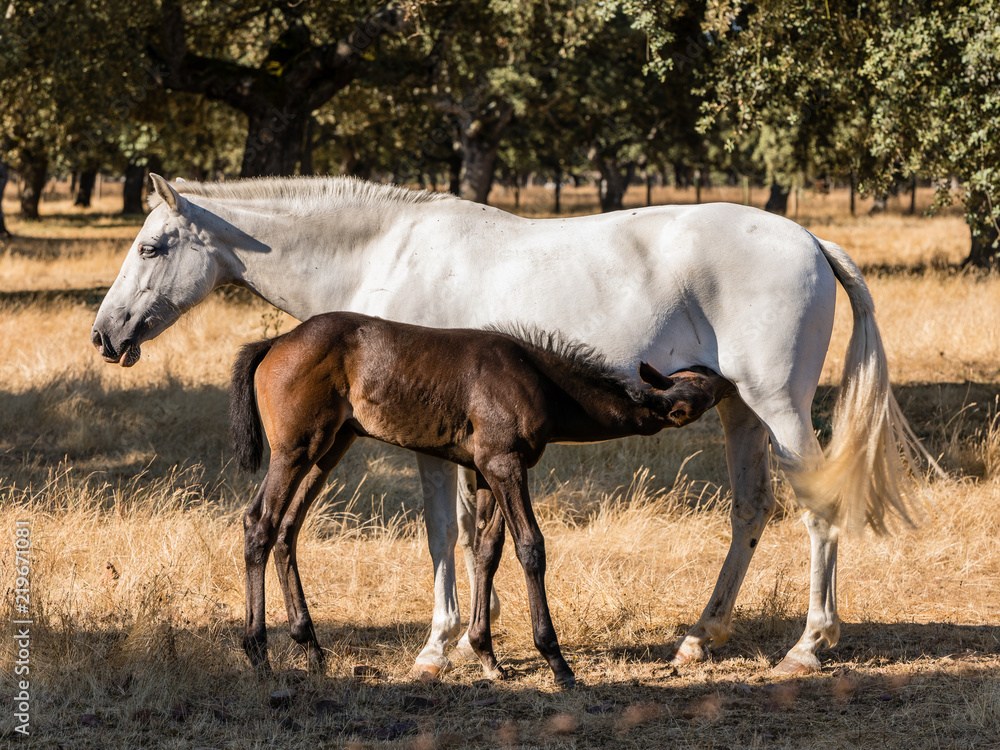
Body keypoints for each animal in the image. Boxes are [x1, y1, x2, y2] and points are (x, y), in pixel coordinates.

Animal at [230, 312, 732, 688]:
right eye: (704, 392)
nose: (728, 379)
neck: (541, 379)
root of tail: (276, 342)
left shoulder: (490, 470)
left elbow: (488, 550)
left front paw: (487, 656)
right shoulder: (504, 464)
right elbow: (530, 546)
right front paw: (557, 661)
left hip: (331, 447)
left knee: (287, 529)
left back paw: (312, 649)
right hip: (295, 450)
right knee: (260, 522)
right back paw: (258, 654)